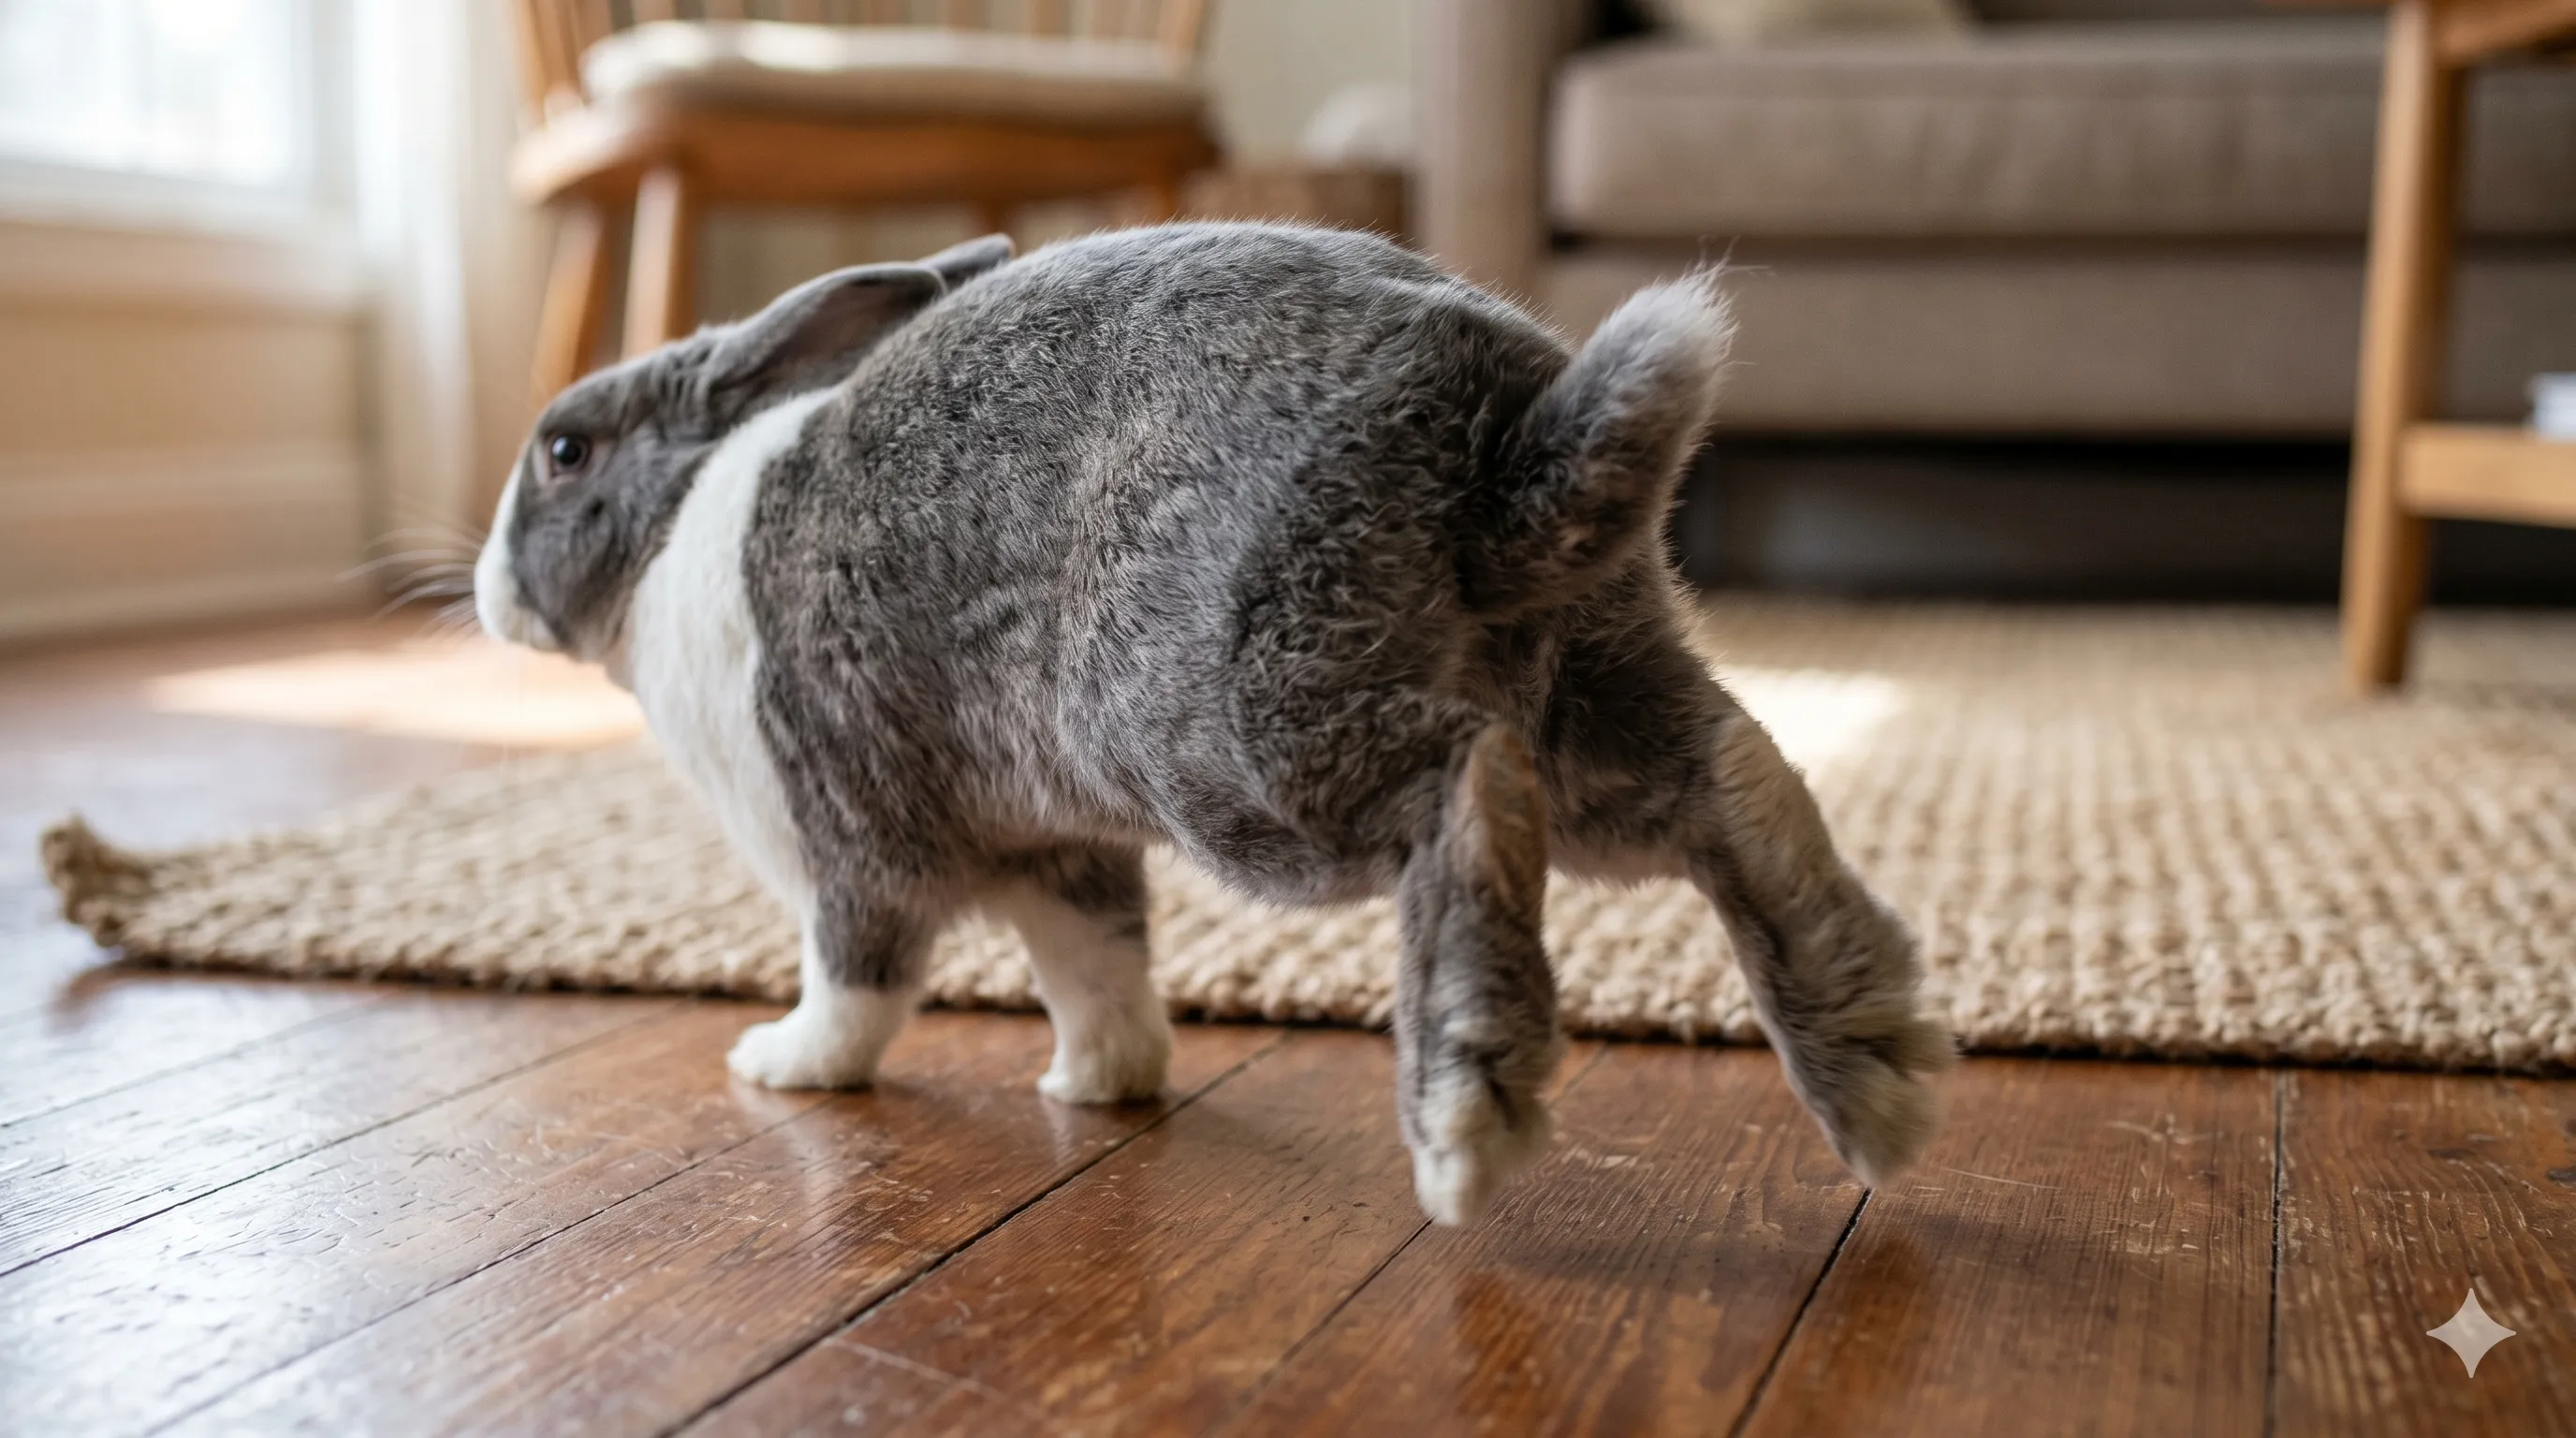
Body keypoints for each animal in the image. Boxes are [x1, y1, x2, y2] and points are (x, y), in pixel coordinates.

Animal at [475, 222, 1951, 1225]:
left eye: (564, 452)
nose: (486, 592)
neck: (678, 529)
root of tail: (1503, 446)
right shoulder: (1059, 848)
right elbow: (1098, 966)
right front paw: (1098, 1090)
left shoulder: (853, 838)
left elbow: (860, 982)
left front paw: (783, 1067)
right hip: (1588, 678)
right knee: (1730, 778)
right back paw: (1874, 1074)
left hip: (1243, 740)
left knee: (1468, 787)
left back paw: (1465, 1115)